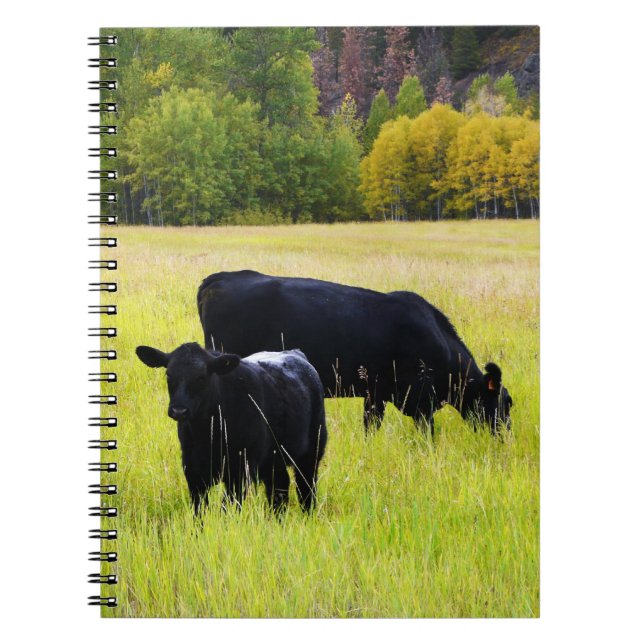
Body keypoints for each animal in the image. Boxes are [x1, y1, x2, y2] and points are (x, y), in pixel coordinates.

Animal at [135, 342, 327, 515]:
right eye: (168, 375)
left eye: (202, 377)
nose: (179, 410)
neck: (208, 434)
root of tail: (295, 353)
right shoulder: (193, 470)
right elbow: (199, 510)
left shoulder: (240, 471)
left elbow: (227, 509)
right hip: (273, 459)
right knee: (279, 488)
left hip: (312, 451)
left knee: (306, 488)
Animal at [197, 270, 512, 436]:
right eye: (506, 402)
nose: (506, 435)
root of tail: (220, 278)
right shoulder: (419, 398)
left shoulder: (376, 394)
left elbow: (371, 427)